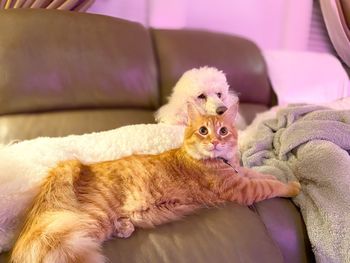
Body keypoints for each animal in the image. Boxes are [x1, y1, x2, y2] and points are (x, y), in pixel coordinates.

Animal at [11, 105, 300, 263]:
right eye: (203, 131)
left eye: (223, 131)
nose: (215, 142)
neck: (222, 161)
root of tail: (79, 166)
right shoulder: (240, 189)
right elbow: (268, 186)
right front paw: (292, 185)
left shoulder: (240, 175)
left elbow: (258, 174)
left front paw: (275, 174)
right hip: (89, 223)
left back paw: (125, 226)